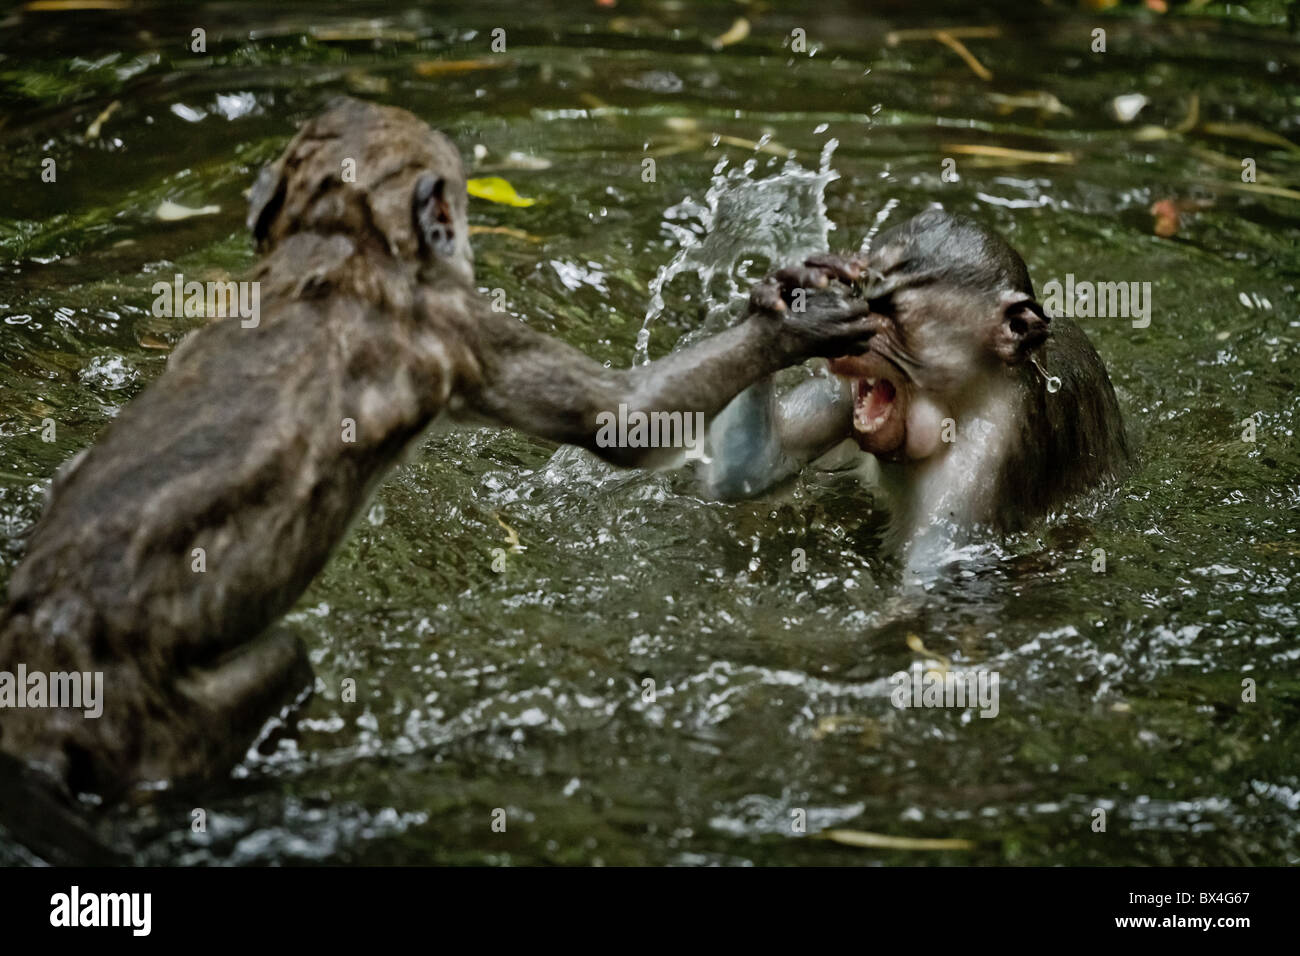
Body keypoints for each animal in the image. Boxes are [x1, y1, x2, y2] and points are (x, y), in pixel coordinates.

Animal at [0, 97, 878, 801]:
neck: (338, 245)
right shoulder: (457, 323)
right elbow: (626, 424)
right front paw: (786, 326)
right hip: (152, 726)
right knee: (281, 665)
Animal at [702, 205, 1128, 556]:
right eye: (857, 297)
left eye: (889, 311)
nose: (842, 347)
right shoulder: (842, 396)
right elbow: (748, 471)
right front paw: (782, 298)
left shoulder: (980, 461)